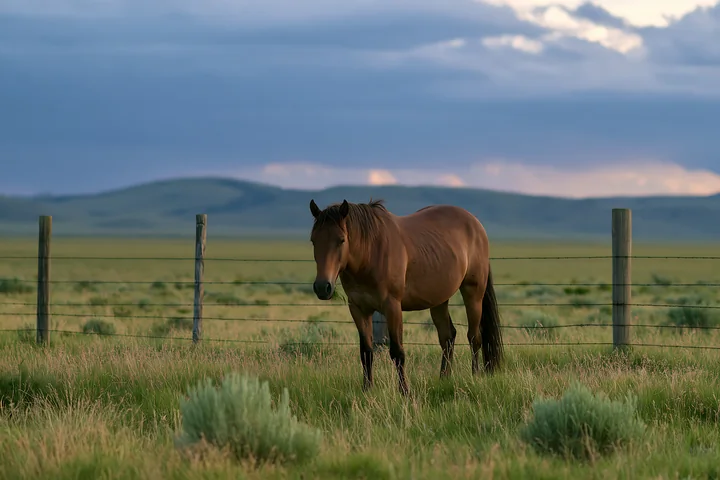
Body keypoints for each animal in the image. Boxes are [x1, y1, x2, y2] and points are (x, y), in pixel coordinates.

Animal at [308, 198, 503, 395]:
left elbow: (397, 352)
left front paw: (405, 391)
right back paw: (444, 378)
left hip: (473, 293)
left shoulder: (392, 307)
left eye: (341, 240)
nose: (322, 287)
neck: (371, 253)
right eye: (313, 240)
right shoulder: (358, 308)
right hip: (439, 300)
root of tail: (475, 223)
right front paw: (367, 389)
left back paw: (475, 376)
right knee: (447, 336)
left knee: (474, 337)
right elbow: (366, 352)